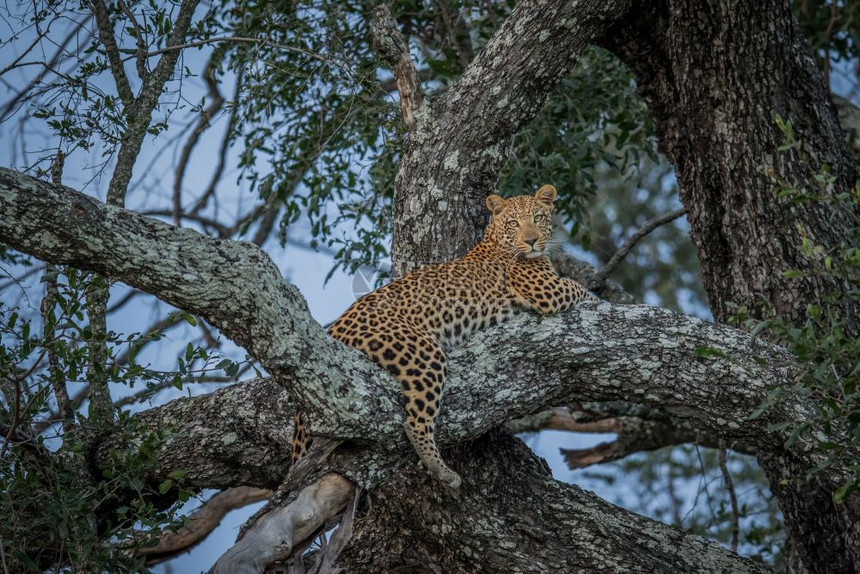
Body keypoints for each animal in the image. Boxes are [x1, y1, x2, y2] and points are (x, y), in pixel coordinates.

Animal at [292, 186, 596, 490]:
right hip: (423, 352)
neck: (497, 241)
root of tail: (335, 327)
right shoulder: (549, 291)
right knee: (414, 422)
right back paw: (444, 472)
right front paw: (597, 298)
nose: (531, 241)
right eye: (514, 223)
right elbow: (581, 289)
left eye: (538, 217)